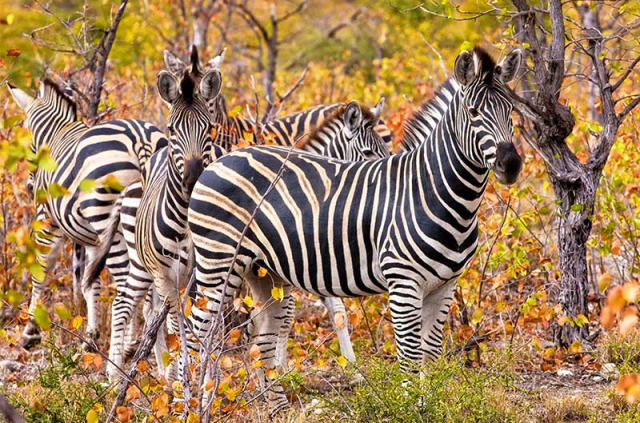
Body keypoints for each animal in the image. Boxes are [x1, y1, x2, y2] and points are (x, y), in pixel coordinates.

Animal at [6, 79, 168, 352]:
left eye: (29, 148)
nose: (29, 188)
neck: (57, 134)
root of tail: (141, 141)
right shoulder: (90, 238)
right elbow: (89, 282)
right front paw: (91, 336)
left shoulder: (49, 221)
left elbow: (42, 270)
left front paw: (30, 331)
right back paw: (137, 343)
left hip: (107, 220)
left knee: (125, 286)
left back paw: (125, 348)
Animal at [186, 46, 524, 414]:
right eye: (474, 112)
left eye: (512, 111)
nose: (511, 165)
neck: (432, 191)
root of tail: (221, 159)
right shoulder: (403, 282)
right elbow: (409, 355)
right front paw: (408, 408)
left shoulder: (445, 285)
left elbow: (430, 354)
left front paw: (426, 407)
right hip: (219, 261)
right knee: (196, 331)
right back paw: (189, 403)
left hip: (264, 273)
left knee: (262, 337)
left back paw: (277, 408)